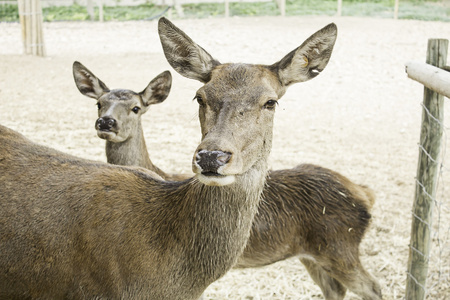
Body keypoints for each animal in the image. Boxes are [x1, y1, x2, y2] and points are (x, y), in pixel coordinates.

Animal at [73, 55, 380, 298]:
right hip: (313, 254)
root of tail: (366, 194)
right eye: (99, 103)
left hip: (340, 246)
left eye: (136, 108)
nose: (106, 122)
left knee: (373, 287)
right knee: (335, 289)